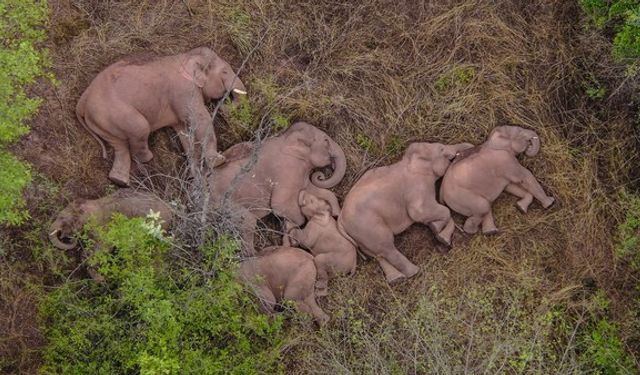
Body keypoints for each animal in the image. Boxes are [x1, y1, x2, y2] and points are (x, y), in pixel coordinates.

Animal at [74, 46, 245, 187]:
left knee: (119, 146)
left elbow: (184, 131)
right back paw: (147, 159)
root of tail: (82, 101)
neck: (186, 56)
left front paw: (196, 176)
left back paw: (119, 181)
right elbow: (199, 118)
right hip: (114, 112)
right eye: (224, 72)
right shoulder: (183, 90)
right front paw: (218, 161)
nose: (223, 105)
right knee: (140, 128)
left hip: (102, 121)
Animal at [210, 122, 344, 256]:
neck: (285, 137)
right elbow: (279, 205)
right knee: (248, 222)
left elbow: (312, 190)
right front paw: (291, 235)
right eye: (326, 141)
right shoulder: (287, 169)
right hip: (226, 204)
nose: (321, 175)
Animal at [338, 142, 472, 284]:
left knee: (377, 253)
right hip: (368, 227)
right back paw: (414, 272)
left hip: (360, 235)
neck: (409, 161)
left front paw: (439, 233)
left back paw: (397, 279)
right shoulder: (417, 186)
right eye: (441, 148)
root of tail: (340, 220)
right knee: (387, 247)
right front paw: (437, 229)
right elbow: (421, 212)